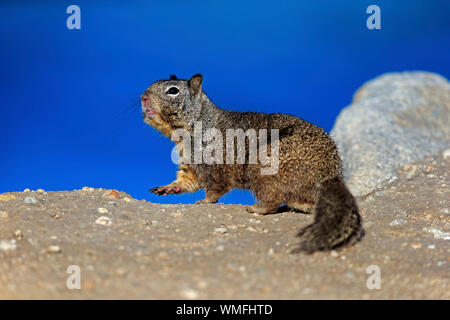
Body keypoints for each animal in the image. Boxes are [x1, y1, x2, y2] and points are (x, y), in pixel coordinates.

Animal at [142, 74, 364, 254]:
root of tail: (330, 174)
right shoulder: (191, 164)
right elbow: (187, 180)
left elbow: (216, 187)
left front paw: (204, 201)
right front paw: (166, 188)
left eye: (173, 90)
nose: (143, 97)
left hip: (264, 170)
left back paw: (257, 209)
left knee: (273, 201)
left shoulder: (217, 163)